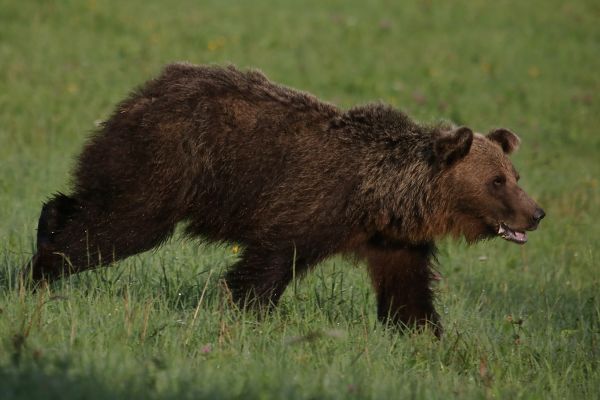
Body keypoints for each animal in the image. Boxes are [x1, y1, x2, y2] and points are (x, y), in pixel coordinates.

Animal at [25, 62, 548, 334]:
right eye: (497, 181)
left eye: (514, 174)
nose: (537, 212)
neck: (383, 198)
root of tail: (138, 95)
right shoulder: (312, 205)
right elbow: (267, 265)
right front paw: (246, 312)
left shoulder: (394, 241)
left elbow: (409, 292)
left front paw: (426, 335)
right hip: (168, 162)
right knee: (122, 226)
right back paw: (42, 268)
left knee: (89, 203)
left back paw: (48, 225)